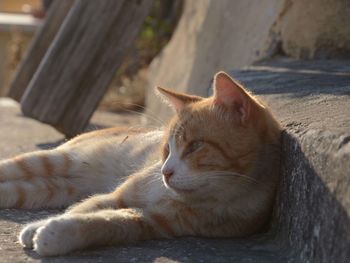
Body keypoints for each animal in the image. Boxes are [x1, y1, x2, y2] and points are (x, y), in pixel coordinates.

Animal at [0, 71, 282, 256]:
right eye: (167, 149)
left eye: (194, 146)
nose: (165, 172)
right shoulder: (117, 196)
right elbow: (83, 208)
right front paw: (37, 227)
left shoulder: (153, 222)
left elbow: (105, 224)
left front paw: (55, 235)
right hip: (55, 160)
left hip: (53, 188)